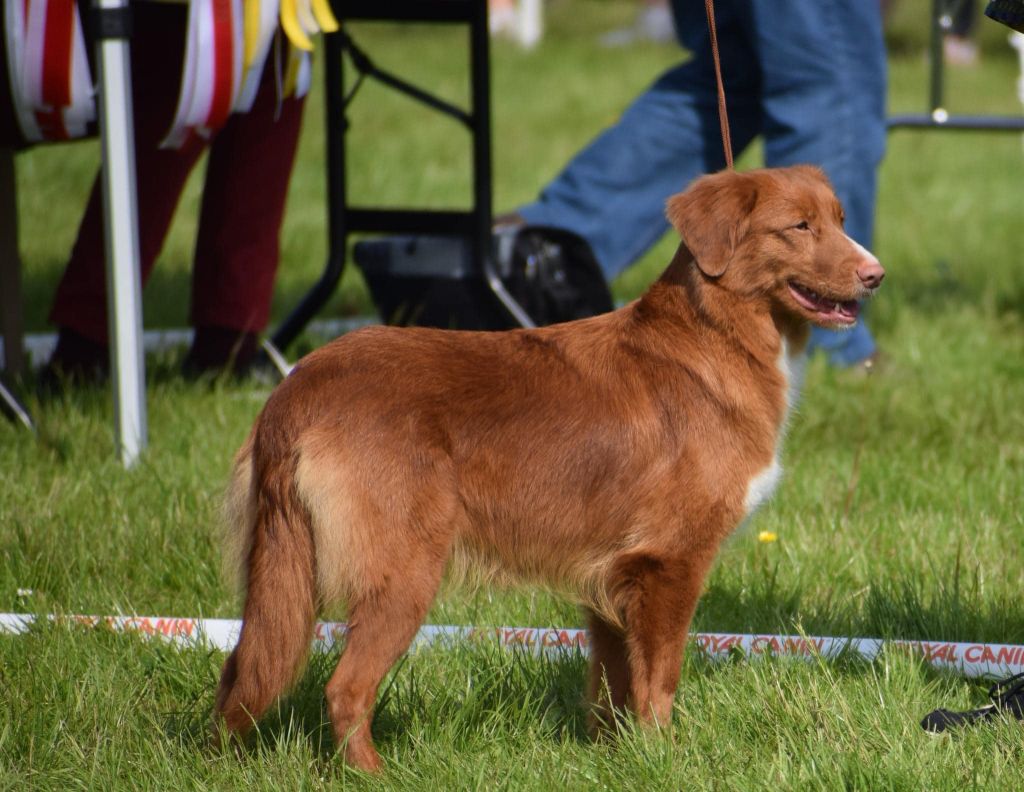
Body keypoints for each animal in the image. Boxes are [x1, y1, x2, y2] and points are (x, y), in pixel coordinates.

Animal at [214, 164, 880, 766]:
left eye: (841, 221)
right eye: (799, 226)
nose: (875, 275)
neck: (716, 336)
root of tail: (299, 385)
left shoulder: (613, 576)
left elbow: (613, 685)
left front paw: (616, 758)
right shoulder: (670, 562)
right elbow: (660, 681)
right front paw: (666, 759)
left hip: (285, 572)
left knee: (239, 672)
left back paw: (226, 761)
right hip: (403, 570)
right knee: (345, 688)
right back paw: (375, 775)